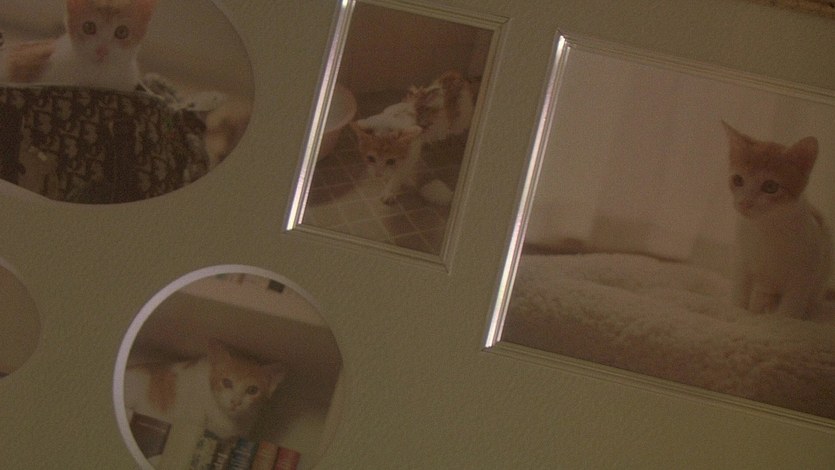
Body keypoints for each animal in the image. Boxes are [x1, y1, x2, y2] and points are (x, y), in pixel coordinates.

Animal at [723, 121, 832, 318]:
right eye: (738, 180)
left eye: (770, 186)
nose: (744, 203)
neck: (766, 228)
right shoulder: (741, 261)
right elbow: (740, 290)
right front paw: (737, 311)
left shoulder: (804, 272)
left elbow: (791, 307)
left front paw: (781, 322)